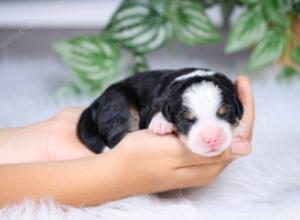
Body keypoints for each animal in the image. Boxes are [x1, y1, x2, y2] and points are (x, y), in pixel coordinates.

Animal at [77, 68, 244, 157]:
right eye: (186, 119)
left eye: (225, 113)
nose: (212, 138)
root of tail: (94, 103)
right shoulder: (157, 99)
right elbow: (157, 108)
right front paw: (161, 123)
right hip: (119, 98)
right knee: (116, 137)